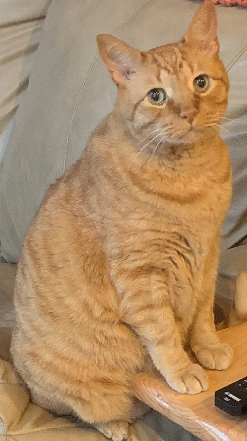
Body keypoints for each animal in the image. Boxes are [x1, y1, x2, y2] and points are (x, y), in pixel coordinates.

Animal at [10, 1, 233, 438]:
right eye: (157, 96)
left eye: (200, 83)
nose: (189, 112)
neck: (191, 175)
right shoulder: (141, 274)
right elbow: (163, 333)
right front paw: (183, 368)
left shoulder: (209, 257)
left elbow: (201, 315)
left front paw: (209, 347)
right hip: (75, 395)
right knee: (83, 411)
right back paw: (117, 425)